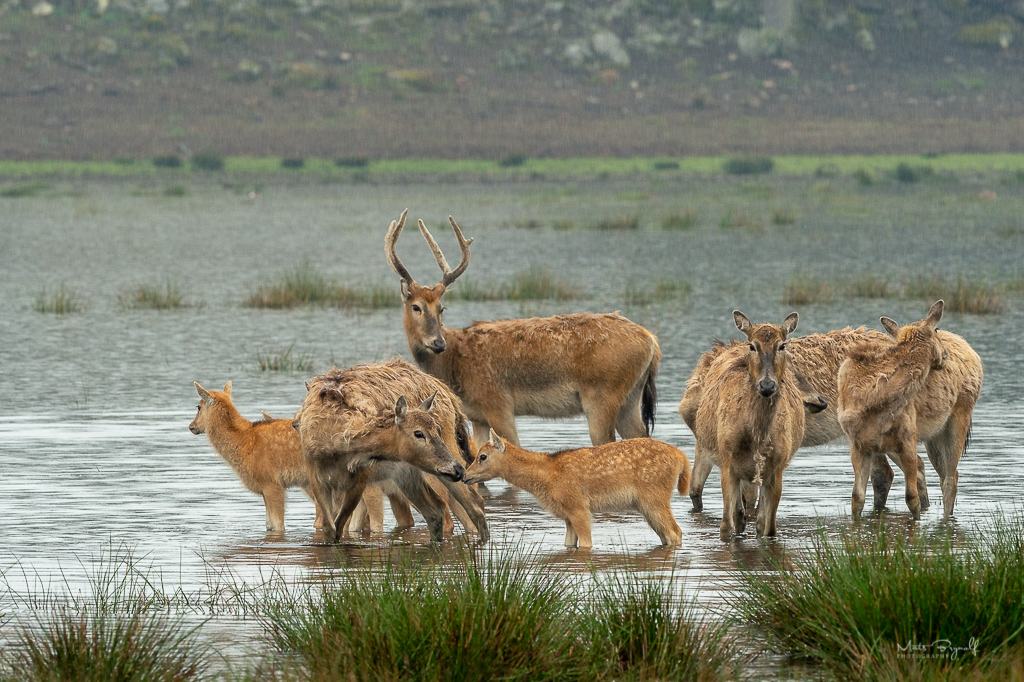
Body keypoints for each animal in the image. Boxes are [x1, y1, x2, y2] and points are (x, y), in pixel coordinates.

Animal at [296, 356, 487, 540]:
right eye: (418, 433)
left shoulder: (360, 480)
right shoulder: (318, 480)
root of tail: (447, 394)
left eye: (437, 430)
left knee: (470, 503)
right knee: (441, 509)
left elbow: (341, 527)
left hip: (438, 467)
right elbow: (330, 529)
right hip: (409, 475)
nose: (457, 470)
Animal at [385, 209, 663, 448]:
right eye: (416, 307)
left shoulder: (498, 403)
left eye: (442, 308)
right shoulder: (477, 415)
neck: (454, 366)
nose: (437, 343)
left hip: (602, 395)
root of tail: (651, 341)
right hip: (630, 398)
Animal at [466, 430, 692, 548]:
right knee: (667, 535)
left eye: (482, 456)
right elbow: (568, 544)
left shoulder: (578, 507)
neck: (548, 476)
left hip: (654, 498)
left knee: (675, 532)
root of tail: (681, 457)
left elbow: (586, 544)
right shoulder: (567, 515)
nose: (465, 475)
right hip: (647, 505)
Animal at [692, 311, 811, 540]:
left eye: (782, 345)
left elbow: (768, 528)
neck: (756, 435)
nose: (767, 385)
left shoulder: (776, 468)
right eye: (753, 346)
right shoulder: (728, 463)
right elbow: (726, 526)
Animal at [839, 301, 983, 518]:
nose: (946, 353)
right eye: (935, 330)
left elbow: (912, 499)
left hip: (961, 415)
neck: (872, 397)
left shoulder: (907, 437)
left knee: (950, 478)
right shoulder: (858, 444)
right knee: (947, 475)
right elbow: (857, 499)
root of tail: (973, 352)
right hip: (934, 436)